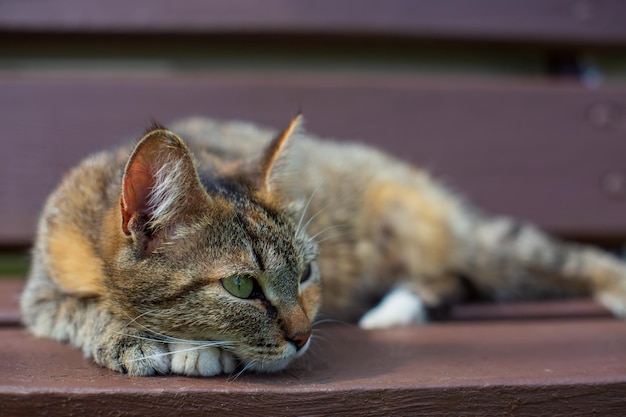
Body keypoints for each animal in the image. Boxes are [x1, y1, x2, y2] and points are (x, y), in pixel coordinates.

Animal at [18, 114, 624, 376]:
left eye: (307, 273)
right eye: (241, 285)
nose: (304, 336)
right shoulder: (40, 294)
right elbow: (84, 308)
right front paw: (139, 337)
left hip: (453, 234)